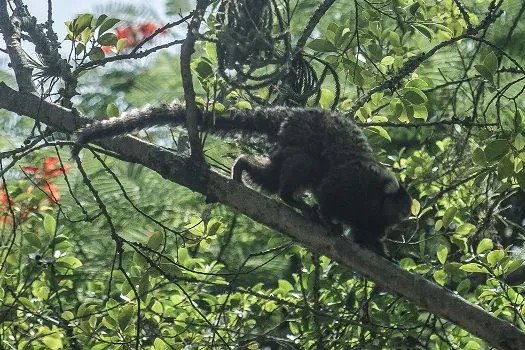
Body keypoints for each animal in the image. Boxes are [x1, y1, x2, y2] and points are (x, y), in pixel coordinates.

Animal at [73, 104, 412, 254]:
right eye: (402, 207)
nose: (407, 216)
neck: (375, 201)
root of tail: (291, 115)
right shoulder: (353, 185)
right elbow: (328, 193)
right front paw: (328, 220)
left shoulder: (373, 221)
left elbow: (368, 237)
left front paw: (383, 255)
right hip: (302, 138)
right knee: (307, 166)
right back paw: (292, 199)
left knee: (273, 176)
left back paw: (243, 167)